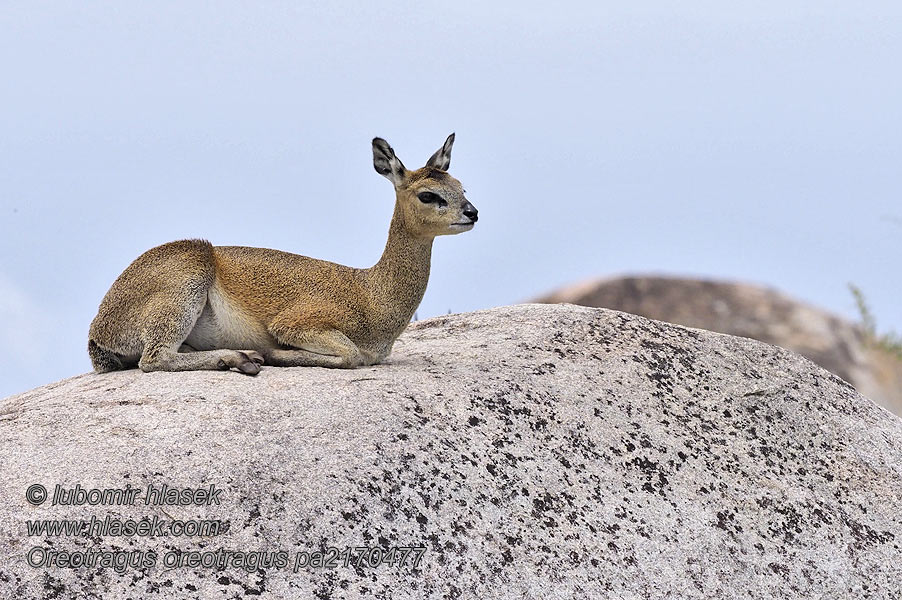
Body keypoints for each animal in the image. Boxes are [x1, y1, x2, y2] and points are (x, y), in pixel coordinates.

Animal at [88, 135, 476, 376]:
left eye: (460, 187)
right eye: (428, 195)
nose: (472, 213)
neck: (372, 294)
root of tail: (98, 330)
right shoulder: (295, 323)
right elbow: (350, 355)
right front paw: (274, 354)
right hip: (185, 284)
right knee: (155, 359)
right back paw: (243, 358)